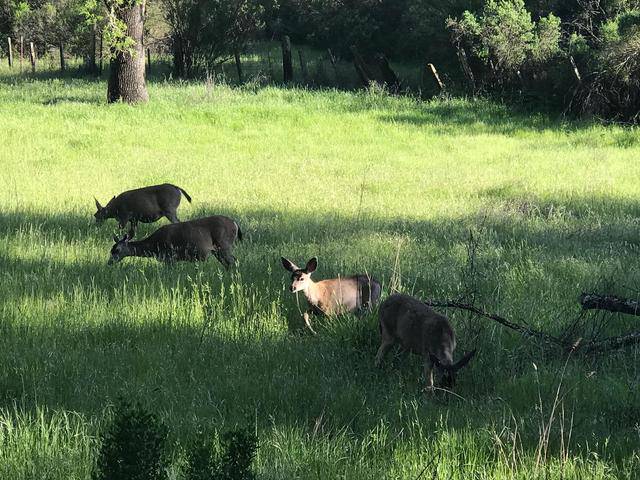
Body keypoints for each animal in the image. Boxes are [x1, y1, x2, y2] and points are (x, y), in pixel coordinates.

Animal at [108, 215, 242, 269]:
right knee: (228, 263)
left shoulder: (169, 256)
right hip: (217, 251)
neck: (154, 246)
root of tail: (235, 224)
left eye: (117, 250)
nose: (109, 263)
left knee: (233, 261)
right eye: (111, 250)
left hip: (224, 245)